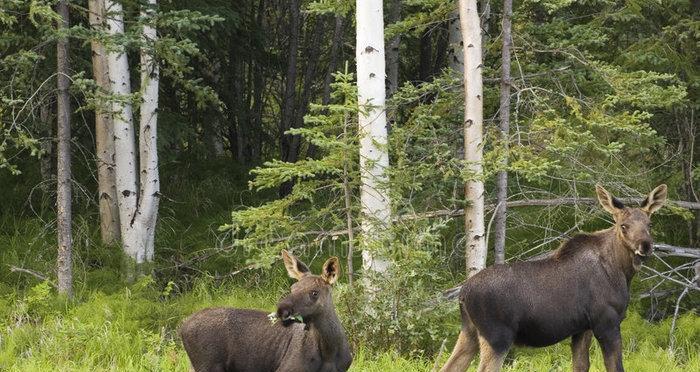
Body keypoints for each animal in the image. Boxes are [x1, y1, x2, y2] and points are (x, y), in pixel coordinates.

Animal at [178, 250, 352, 372]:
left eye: (314, 292)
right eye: (293, 287)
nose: (282, 310)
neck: (329, 351)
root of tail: (182, 327)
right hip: (207, 365)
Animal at [442, 185, 668, 370]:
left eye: (650, 223)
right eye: (624, 225)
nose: (645, 246)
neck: (622, 271)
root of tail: (463, 294)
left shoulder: (582, 328)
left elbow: (580, 365)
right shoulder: (607, 321)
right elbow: (615, 367)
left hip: (470, 333)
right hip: (497, 336)